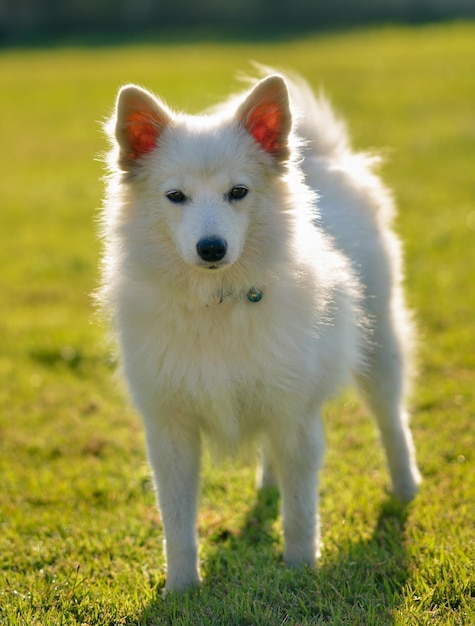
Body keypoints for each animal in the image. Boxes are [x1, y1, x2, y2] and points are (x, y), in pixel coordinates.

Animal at [98, 72, 422, 588]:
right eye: (175, 196)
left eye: (238, 192)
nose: (211, 248)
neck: (217, 301)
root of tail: (323, 159)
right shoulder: (170, 428)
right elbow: (177, 522)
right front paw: (181, 589)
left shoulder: (296, 417)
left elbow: (300, 512)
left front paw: (301, 570)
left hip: (380, 345)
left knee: (391, 418)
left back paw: (406, 487)